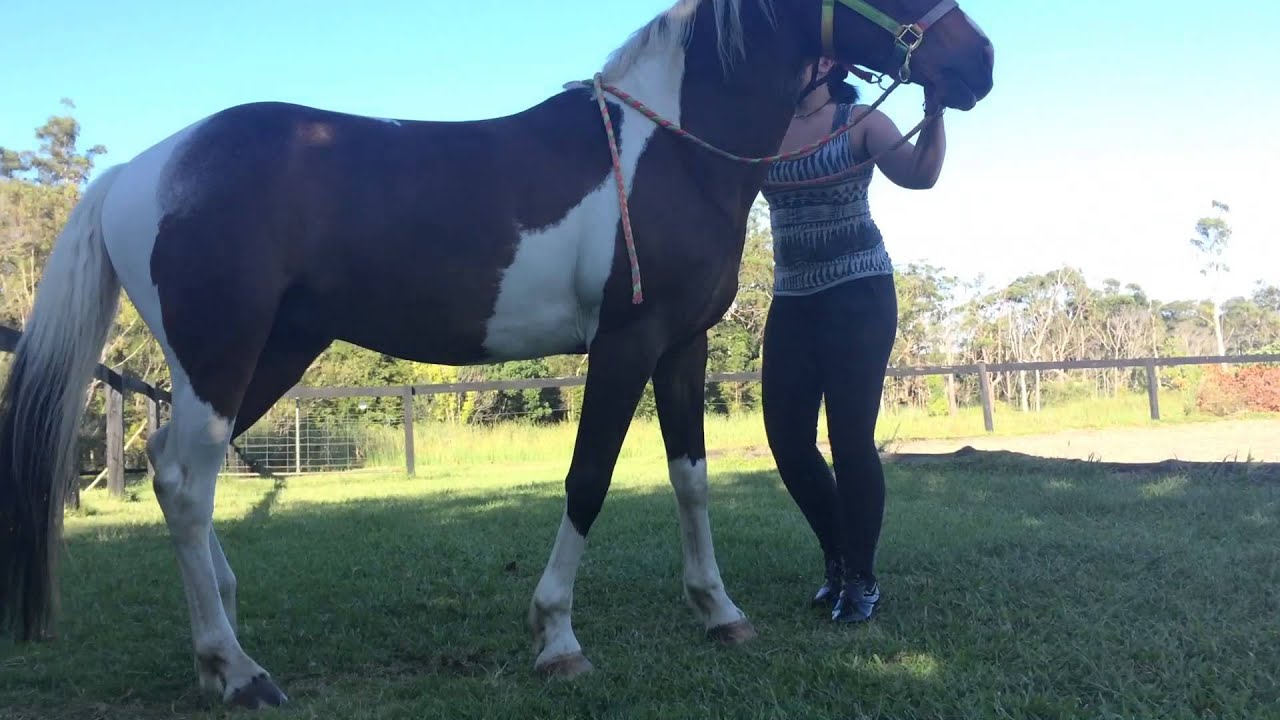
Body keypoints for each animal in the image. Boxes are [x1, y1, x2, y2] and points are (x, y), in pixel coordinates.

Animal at [0, 0, 993, 708]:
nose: (976, 62)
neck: (671, 151)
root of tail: (138, 170)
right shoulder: (624, 344)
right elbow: (589, 479)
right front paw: (556, 637)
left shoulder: (684, 346)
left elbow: (692, 479)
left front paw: (719, 611)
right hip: (223, 357)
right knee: (182, 480)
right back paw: (237, 670)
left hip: (270, 356)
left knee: (174, 465)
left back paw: (226, 638)